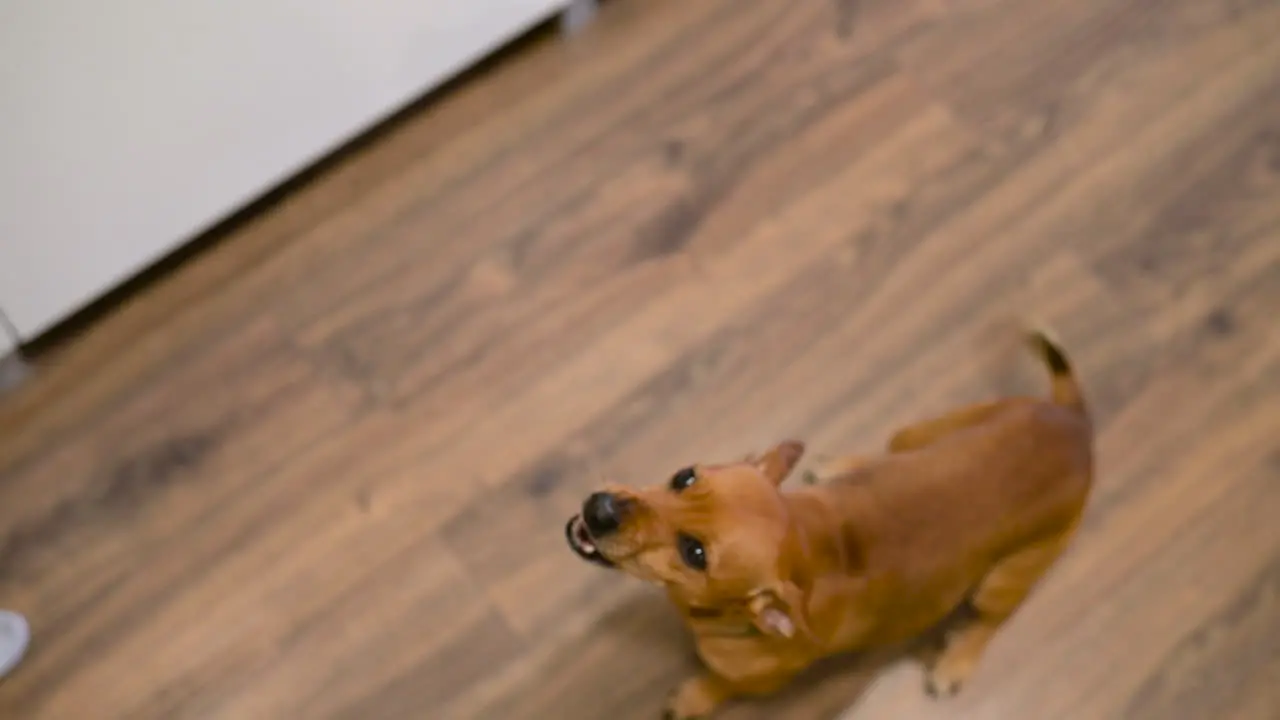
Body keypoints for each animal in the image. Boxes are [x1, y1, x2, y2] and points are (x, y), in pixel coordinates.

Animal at [565, 327, 1095, 712]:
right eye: (683, 476)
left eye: (694, 552)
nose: (600, 509)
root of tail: (1075, 425)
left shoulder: (759, 680)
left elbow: (720, 686)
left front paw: (696, 698)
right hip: (919, 433)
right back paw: (841, 466)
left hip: (1005, 577)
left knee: (992, 618)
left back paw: (957, 661)